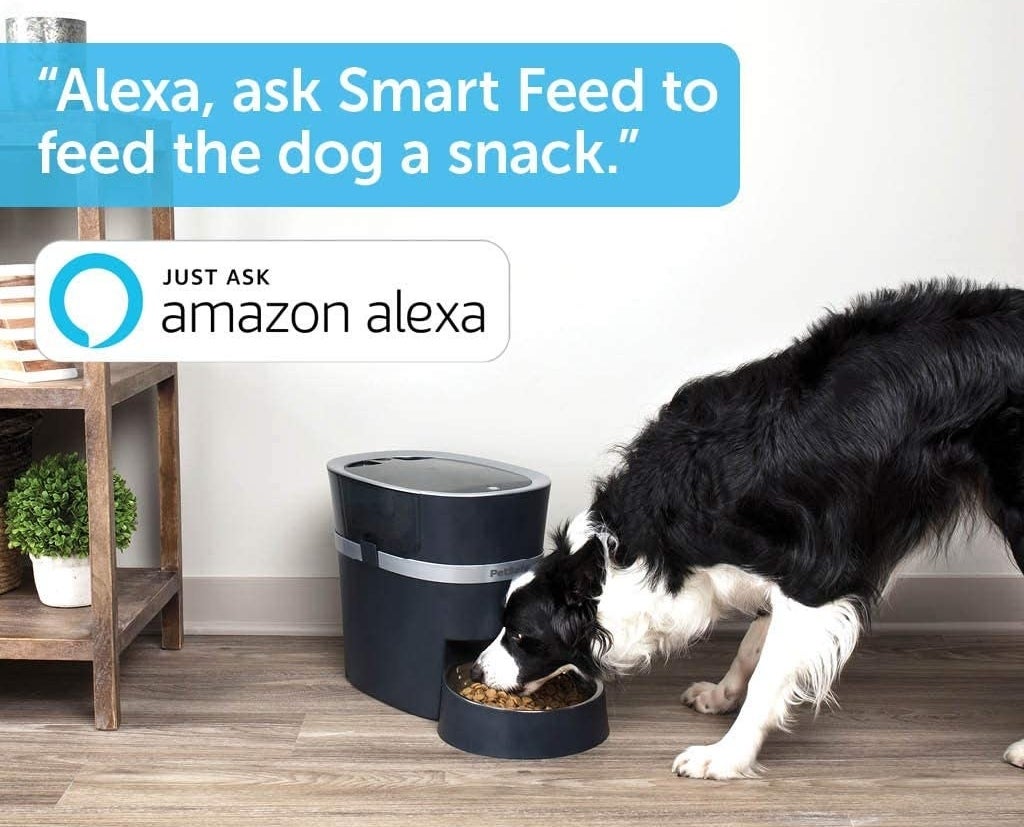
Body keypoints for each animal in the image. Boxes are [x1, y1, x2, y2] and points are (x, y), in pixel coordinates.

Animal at [471, 280, 1024, 777]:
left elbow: (769, 676)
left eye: (521, 636)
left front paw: (725, 756)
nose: (476, 669)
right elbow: (753, 643)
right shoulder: (767, 570)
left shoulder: (816, 577)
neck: (642, 541)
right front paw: (721, 694)